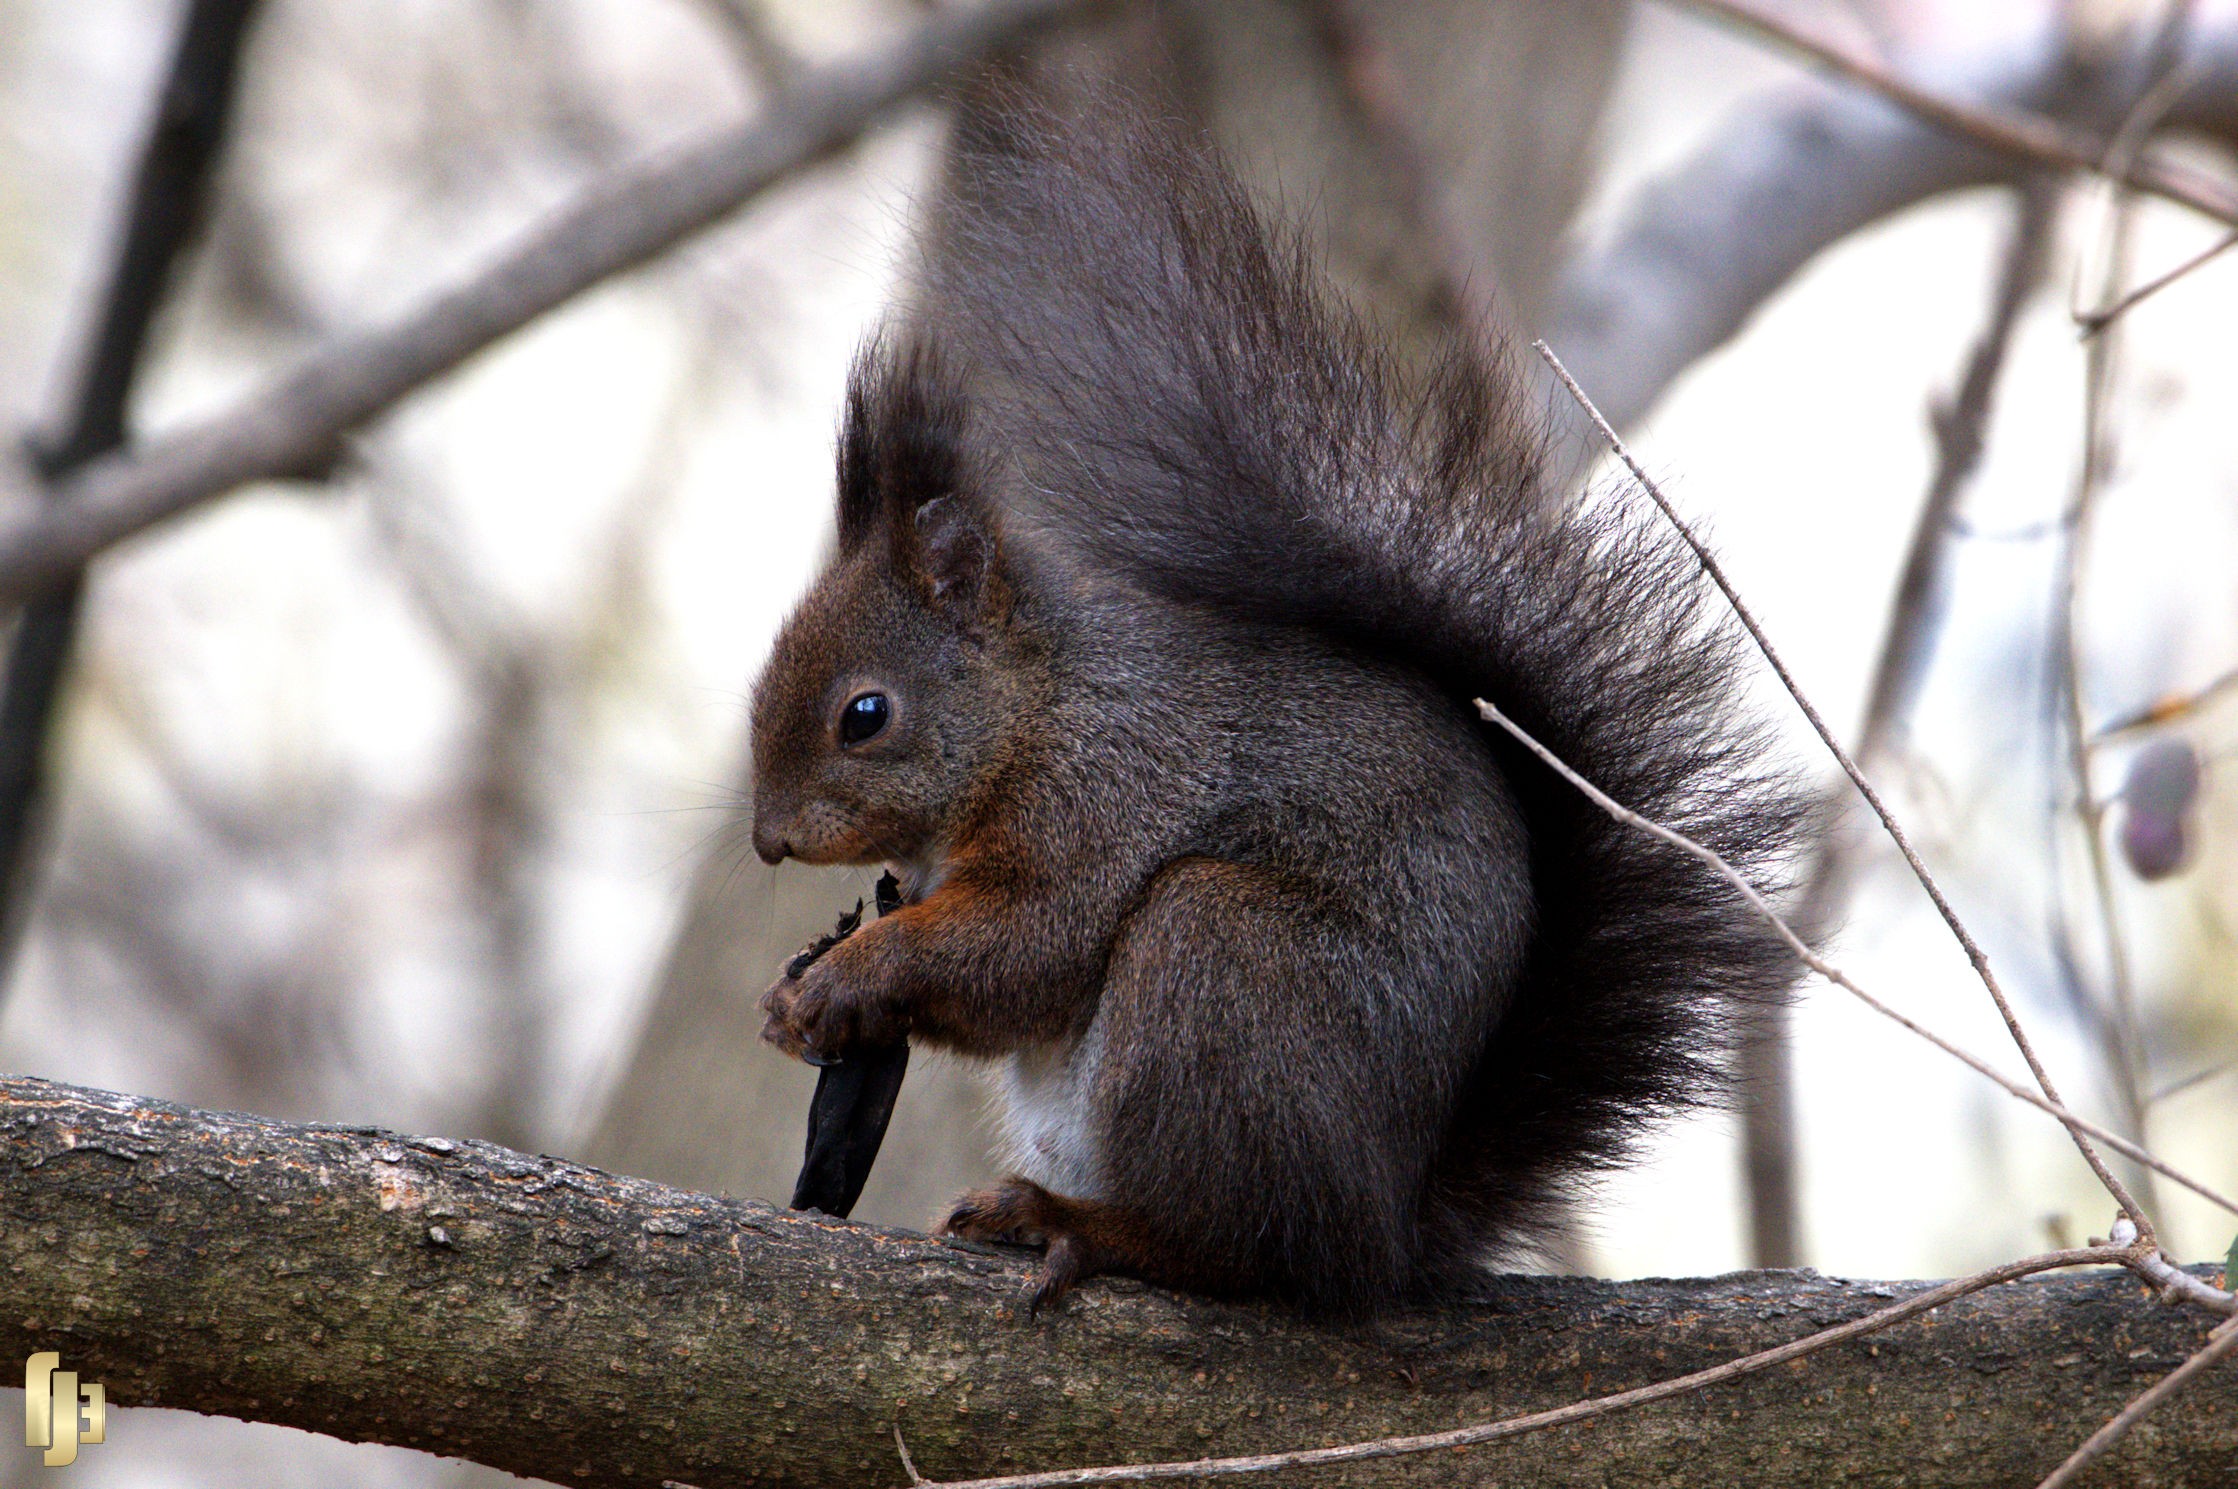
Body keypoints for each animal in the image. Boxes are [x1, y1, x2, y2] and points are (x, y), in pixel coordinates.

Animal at [743, 83, 1808, 1316]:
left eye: (865, 715)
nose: (768, 840)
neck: (1038, 705)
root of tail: (1385, 1230)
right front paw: (795, 993)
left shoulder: (1105, 789)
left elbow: (1026, 943)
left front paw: (849, 976)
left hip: (1222, 965)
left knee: (1240, 1247)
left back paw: (1082, 1224)